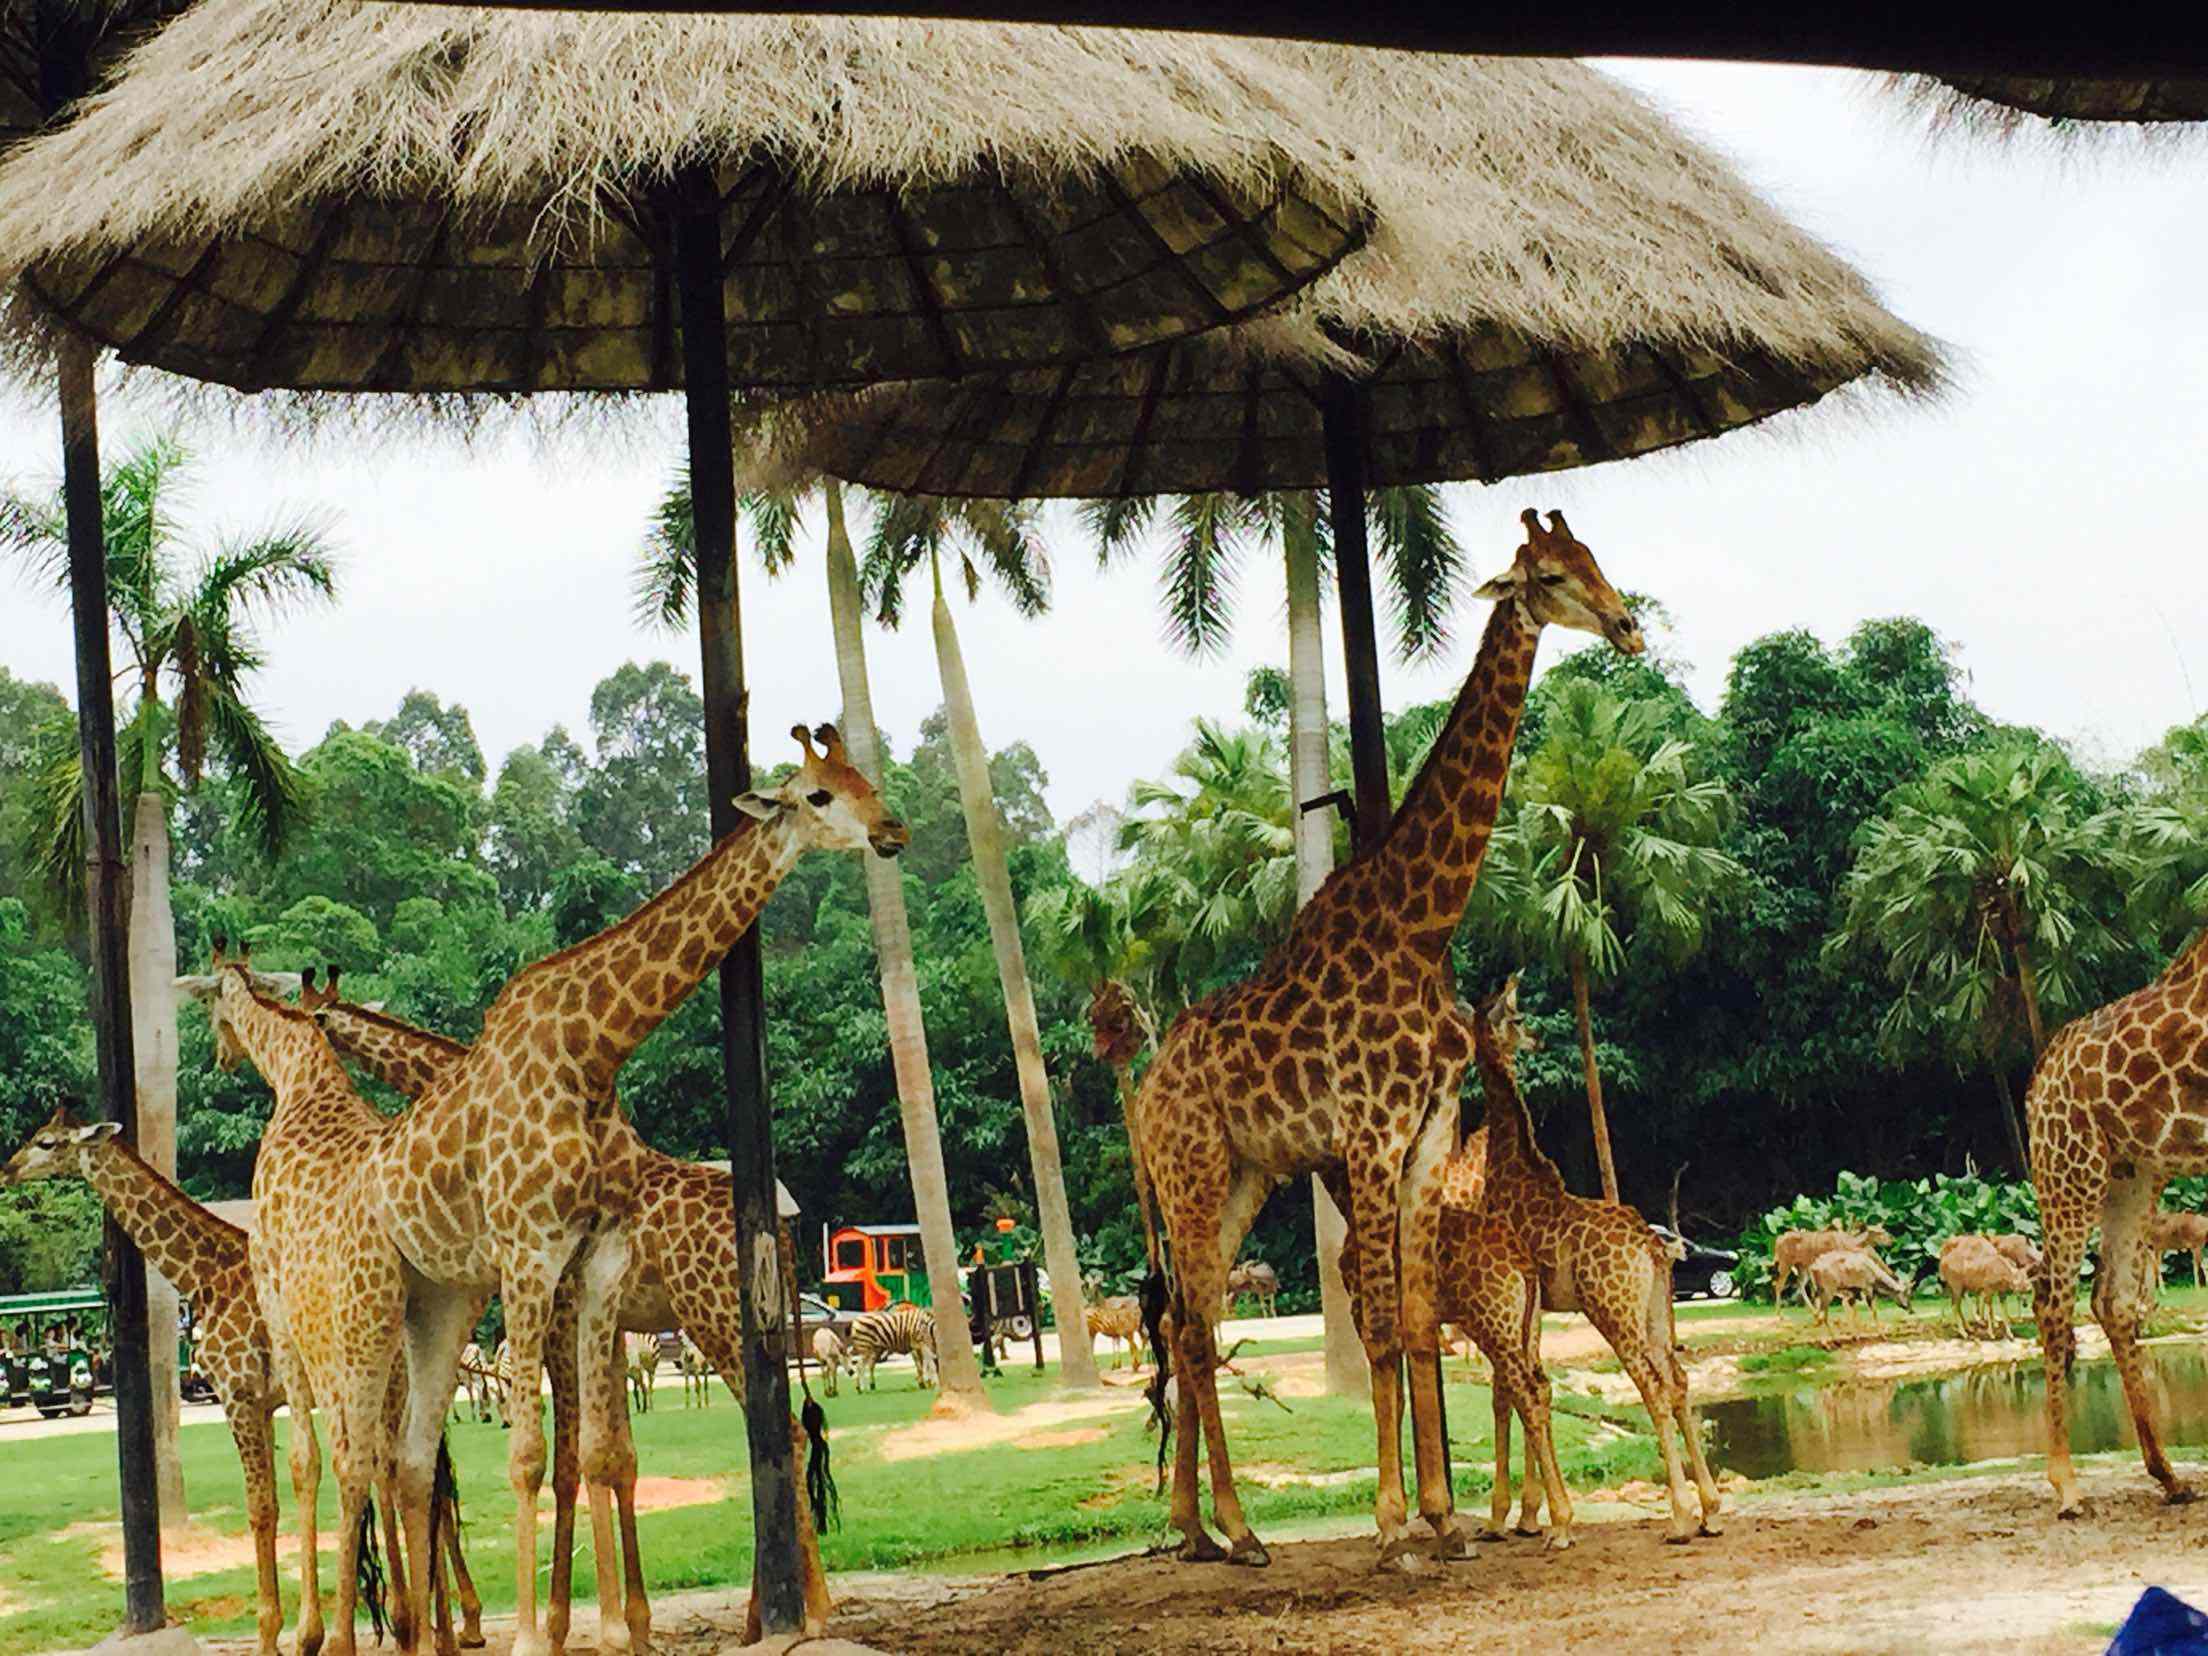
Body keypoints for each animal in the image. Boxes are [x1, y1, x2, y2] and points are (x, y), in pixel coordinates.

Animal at [0, 1104, 485, 1656]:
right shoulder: (267, 1402)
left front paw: (272, 1633)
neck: (204, 1277)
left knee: (411, 1481)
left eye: (47, 1141)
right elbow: (279, 1497)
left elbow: (261, 1507)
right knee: (424, 1481)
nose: (8, 1169)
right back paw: (449, 1630)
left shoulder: (238, 1395)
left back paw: (431, 1628)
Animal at [298, 971, 830, 1651]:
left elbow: (572, 1462)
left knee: (784, 1431)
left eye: (316, 1015)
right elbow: (618, 1458)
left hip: (718, 1318)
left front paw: (560, 1626)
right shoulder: (604, 1329)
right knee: (776, 1436)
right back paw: (766, 1616)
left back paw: (809, 1613)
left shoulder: (560, 1319)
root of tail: (783, 1235)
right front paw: (629, 1622)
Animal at [1139, 510, 1642, 1572]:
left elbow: (1414, 1323)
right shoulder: (1368, 1137)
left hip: (1243, 1177)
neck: (1421, 927)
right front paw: (1389, 1526)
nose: (1627, 626)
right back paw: (1237, 1526)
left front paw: (1446, 1519)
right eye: (1549, 576)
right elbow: (1373, 1327)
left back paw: (1206, 1530)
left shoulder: (1427, 1138)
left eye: (1595, 558)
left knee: (1193, 1320)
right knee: (1192, 1330)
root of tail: (1146, 1092)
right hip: (1191, 1173)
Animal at [1466, 980, 1722, 1554]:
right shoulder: (1532, 1305)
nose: (1536, 1040)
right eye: (1518, 1018)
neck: (1507, 1166)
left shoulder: (1515, 1300)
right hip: (1655, 1313)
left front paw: (1508, 1518)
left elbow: (1507, 1393)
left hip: (1613, 1311)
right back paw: (1710, 1512)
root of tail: (1653, 1248)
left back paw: (1678, 1519)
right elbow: (1528, 1389)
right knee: (1678, 1381)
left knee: (1651, 1385)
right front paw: (1530, 1516)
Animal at [2022, 927, 2208, 1527]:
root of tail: (2038, 1082)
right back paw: (2067, 1488)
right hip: (2069, 1165)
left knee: (2113, 1299)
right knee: (2053, 1300)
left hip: (2133, 1171)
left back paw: (2169, 1477)